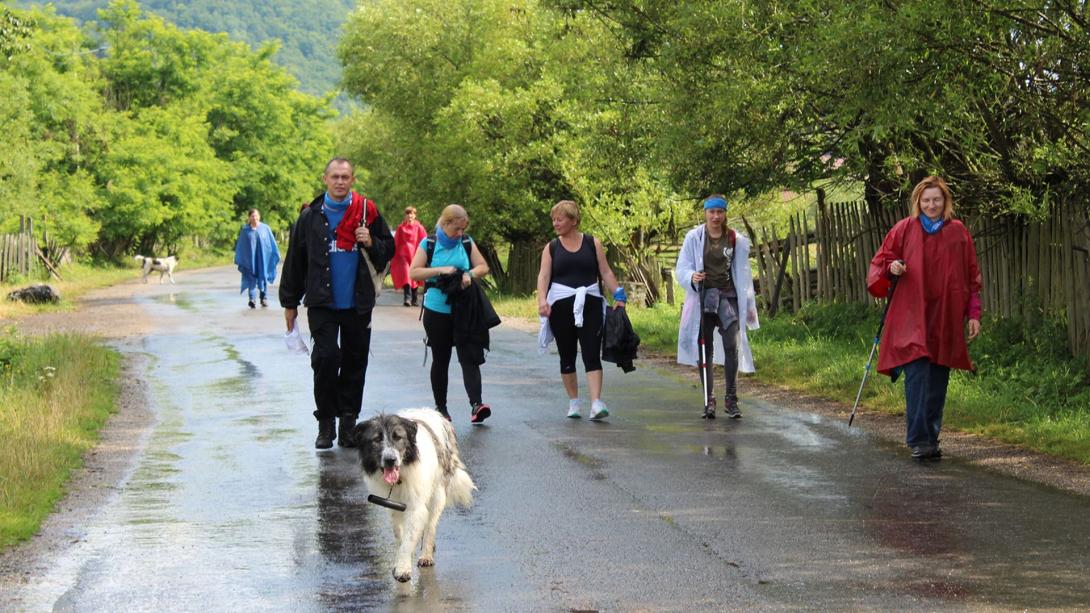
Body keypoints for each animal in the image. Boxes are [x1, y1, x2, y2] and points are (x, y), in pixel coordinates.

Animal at [350, 407, 475, 580]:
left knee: (430, 525)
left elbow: (409, 538)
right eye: (376, 439)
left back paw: (426, 554)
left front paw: (403, 568)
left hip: (437, 492)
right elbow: (400, 536)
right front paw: (400, 562)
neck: (400, 477)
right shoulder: (393, 506)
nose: (390, 460)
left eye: (398, 437)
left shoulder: (415, 505)